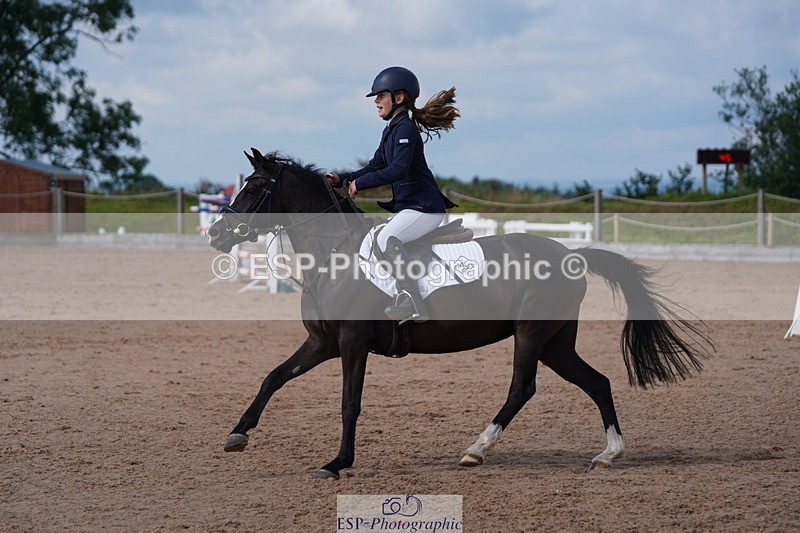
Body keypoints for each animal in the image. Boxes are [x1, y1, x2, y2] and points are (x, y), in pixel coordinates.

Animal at [207, 149, 712, 480]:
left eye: (256, 187)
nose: (216, 233)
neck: (334, 255)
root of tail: (572, 253)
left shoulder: (352, 343)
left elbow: (349, 403)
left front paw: (337, 464)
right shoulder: (322, 343)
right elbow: (274, 377)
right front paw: (237, 435)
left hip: (532, 333)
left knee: (522, 388)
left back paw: (476, 450)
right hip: (555, 342)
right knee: (597, 382)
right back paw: (609, 454)